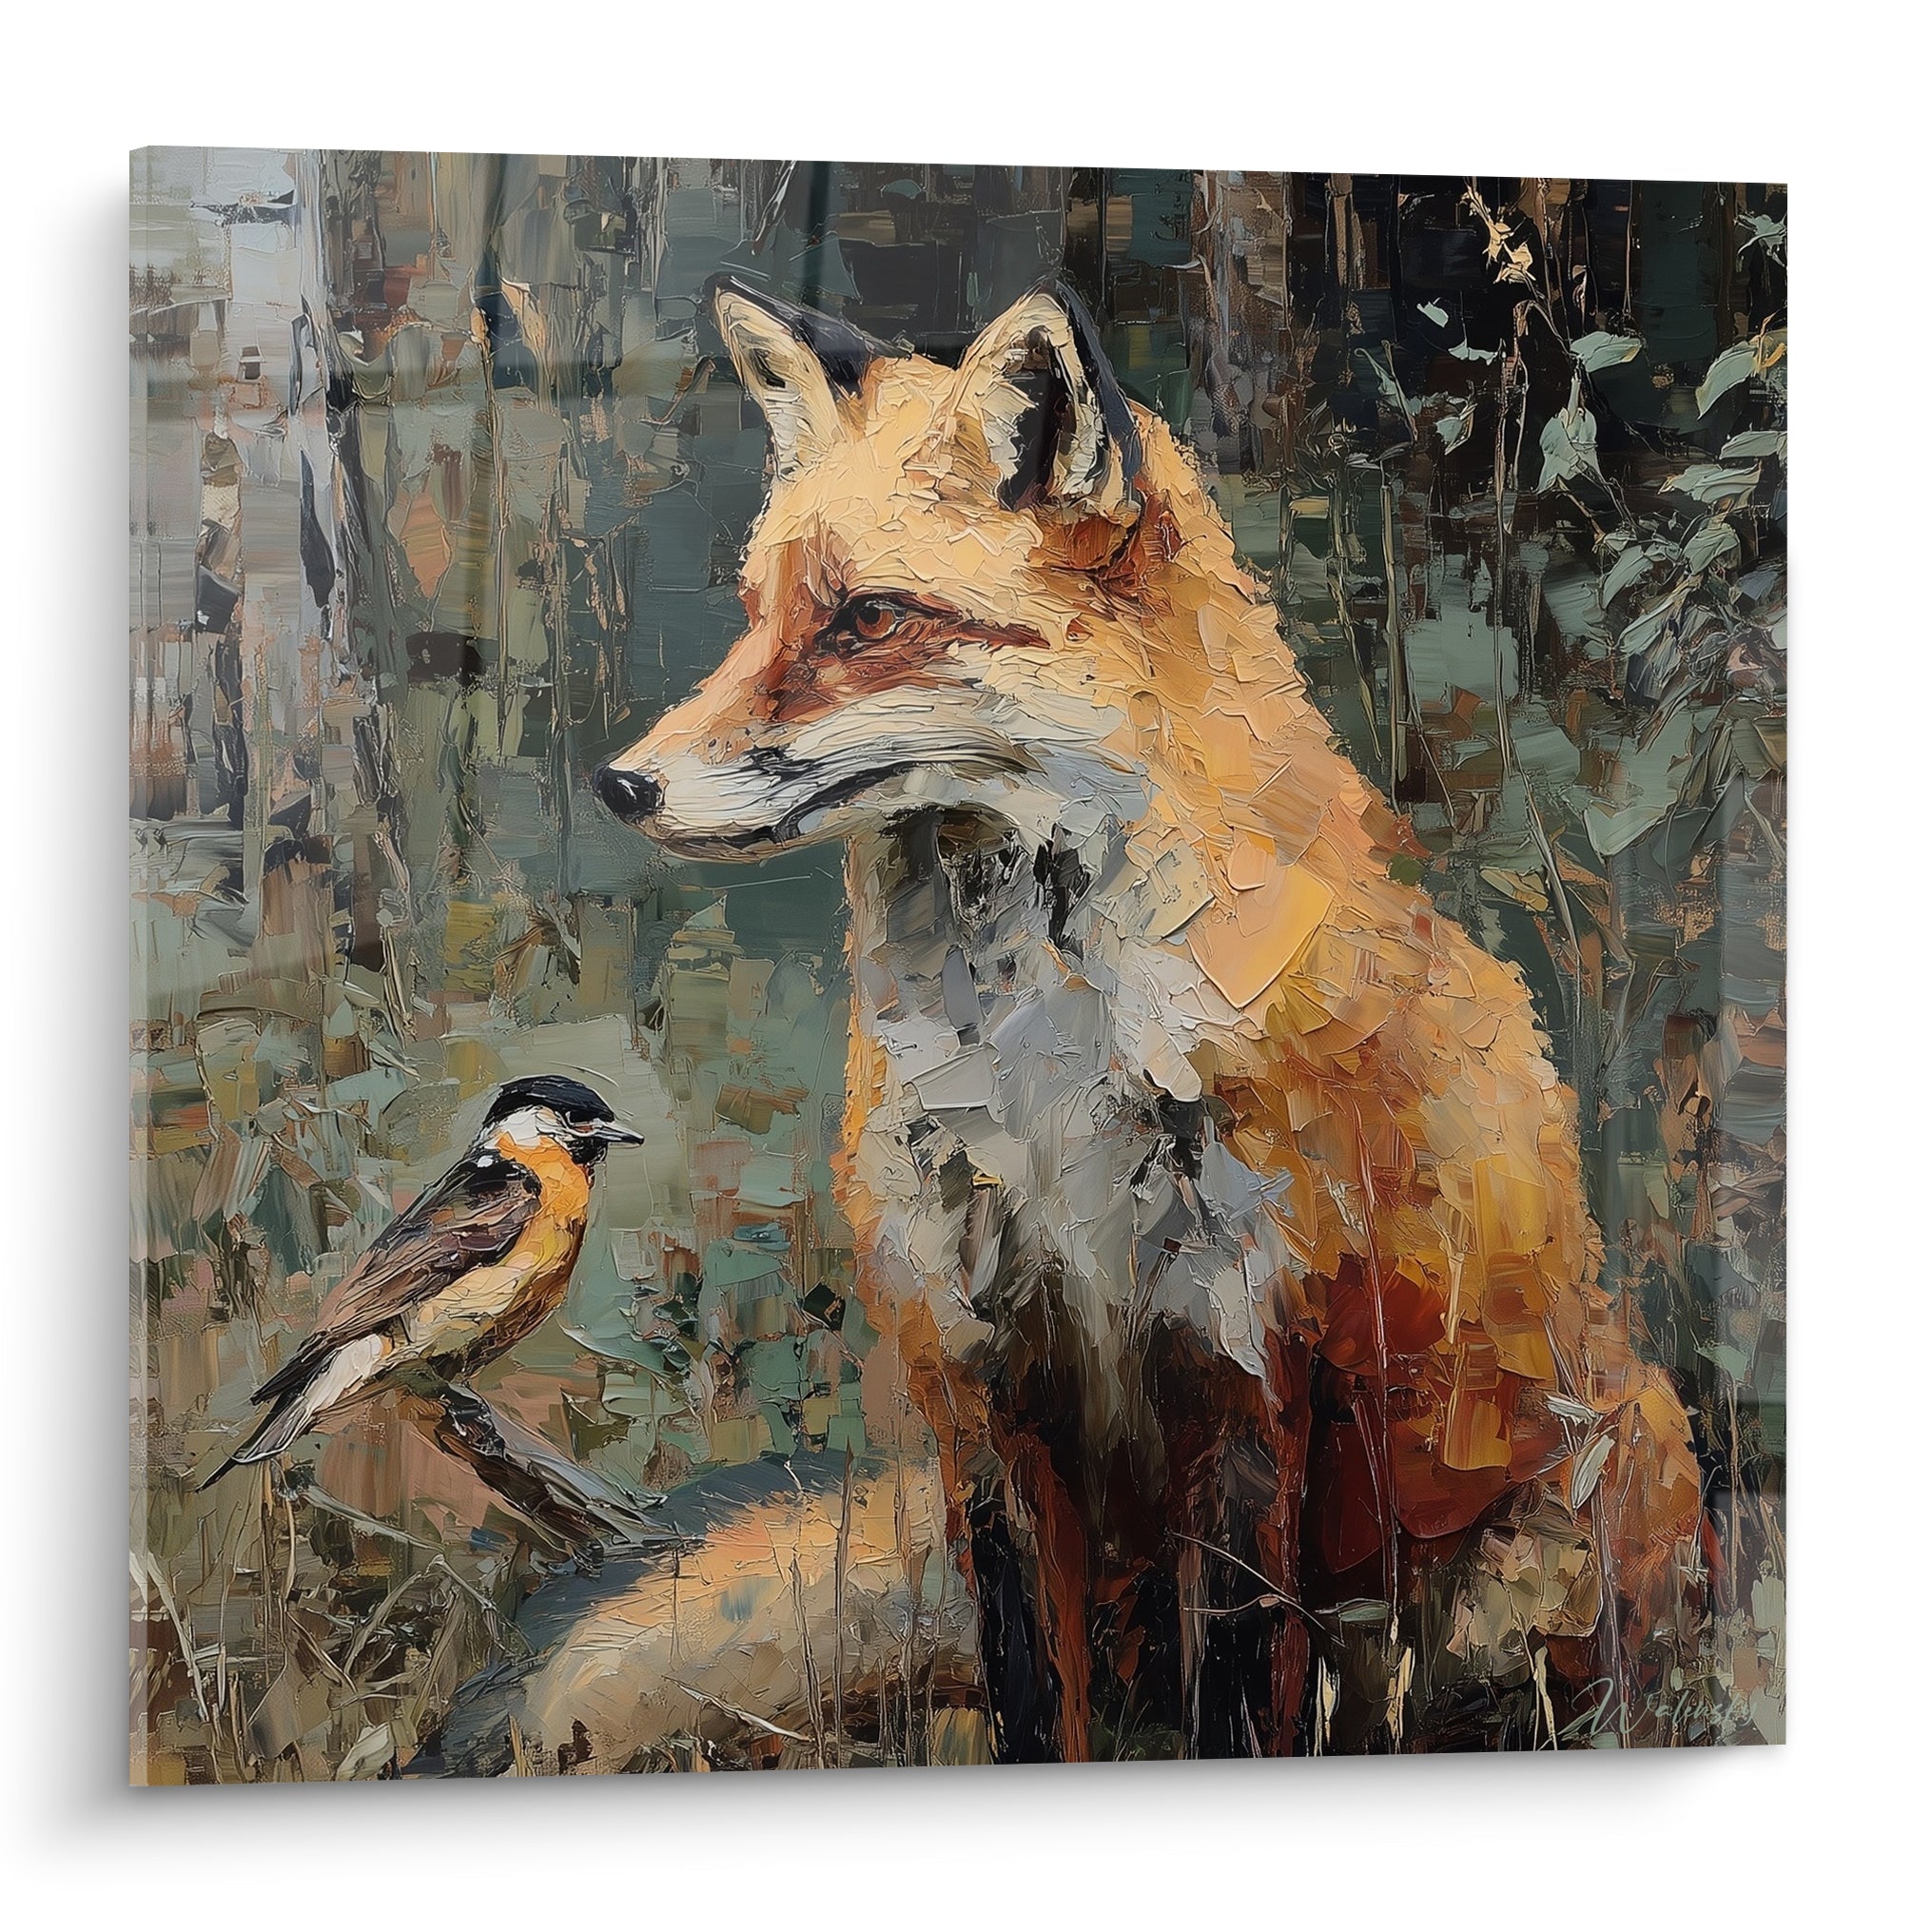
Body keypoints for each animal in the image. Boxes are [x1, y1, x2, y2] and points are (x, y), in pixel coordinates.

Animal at [592, 274, 1706, 1758]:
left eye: (869, 620)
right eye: (757, 610)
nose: (622, 785)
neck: (1034, 1071)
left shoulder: (1237, 1360)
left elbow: (1233, 1678)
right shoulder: (981, 1377)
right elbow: (1025, 1683)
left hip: (1529, 1567)